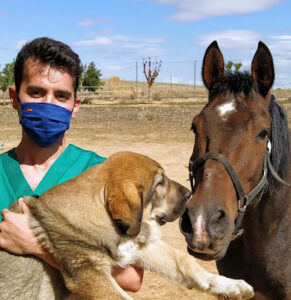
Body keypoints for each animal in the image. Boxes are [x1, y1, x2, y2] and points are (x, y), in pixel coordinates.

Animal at [0, 152, 254, 300]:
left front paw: (228, 285)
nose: (190, 193)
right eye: (160, 182)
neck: (105, 219)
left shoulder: (140, 246)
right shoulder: (90, 275)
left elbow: (186, 262)